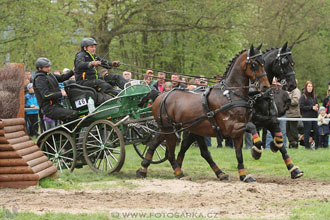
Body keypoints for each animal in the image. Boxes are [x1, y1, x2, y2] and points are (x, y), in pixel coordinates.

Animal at [137, 44, 270, 182]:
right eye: (254, 64)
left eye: (263, 63)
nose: (266, 86)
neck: (231, 94)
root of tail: (160, 95)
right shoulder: (230, 128)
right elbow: (251, 126)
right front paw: (256, 150)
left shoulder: (237, 132)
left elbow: (239, 154)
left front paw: (243, 175)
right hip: (171, 130)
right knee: (170, 153)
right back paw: (179, 173)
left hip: (174, 129)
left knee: (155, 143)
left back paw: (143, 169)